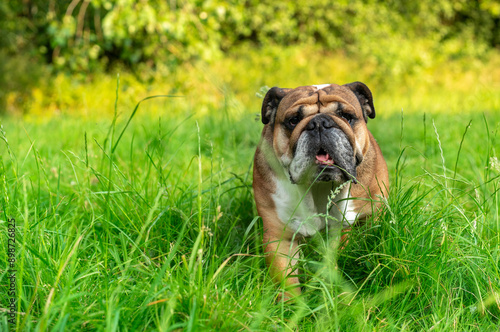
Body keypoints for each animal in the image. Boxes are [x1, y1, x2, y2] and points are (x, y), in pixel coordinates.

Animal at [252, 81, 388, 296]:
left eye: (346, 116)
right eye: (293, 120)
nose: (319, 123)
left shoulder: (341, 229)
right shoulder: (279, 237)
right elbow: (287, 280)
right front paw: (292, 303)